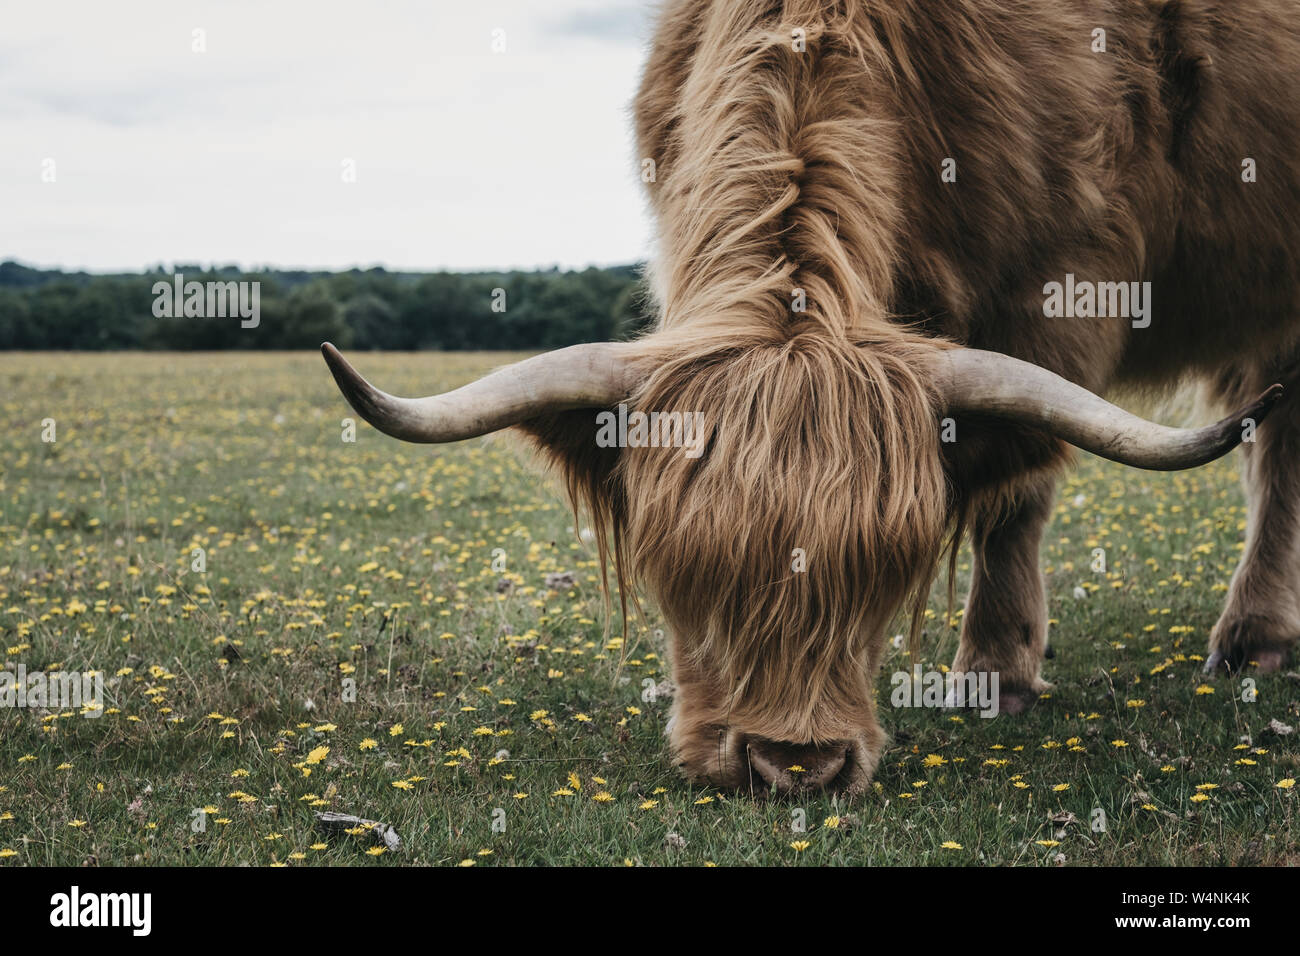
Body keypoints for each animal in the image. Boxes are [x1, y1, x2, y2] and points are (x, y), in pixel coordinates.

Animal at [322, 0, 1300, 794]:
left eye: (884, 579)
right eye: (684, 577)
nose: (798, 764)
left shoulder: (1062, 291)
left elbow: (1014, 497)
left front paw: (993, 674)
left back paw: (1252, 638)